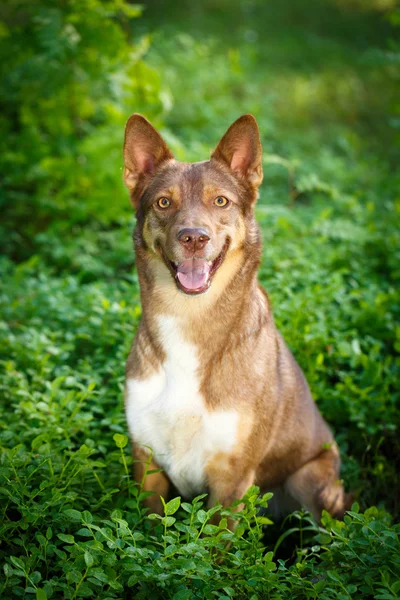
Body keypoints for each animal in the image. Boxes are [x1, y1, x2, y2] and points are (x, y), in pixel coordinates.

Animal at [122, 113, 350, 524]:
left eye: (221, 201)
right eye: (163, 202)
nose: (193, 238)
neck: (190, 320)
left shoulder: (232, 478)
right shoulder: (146, 462)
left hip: (311, 479)